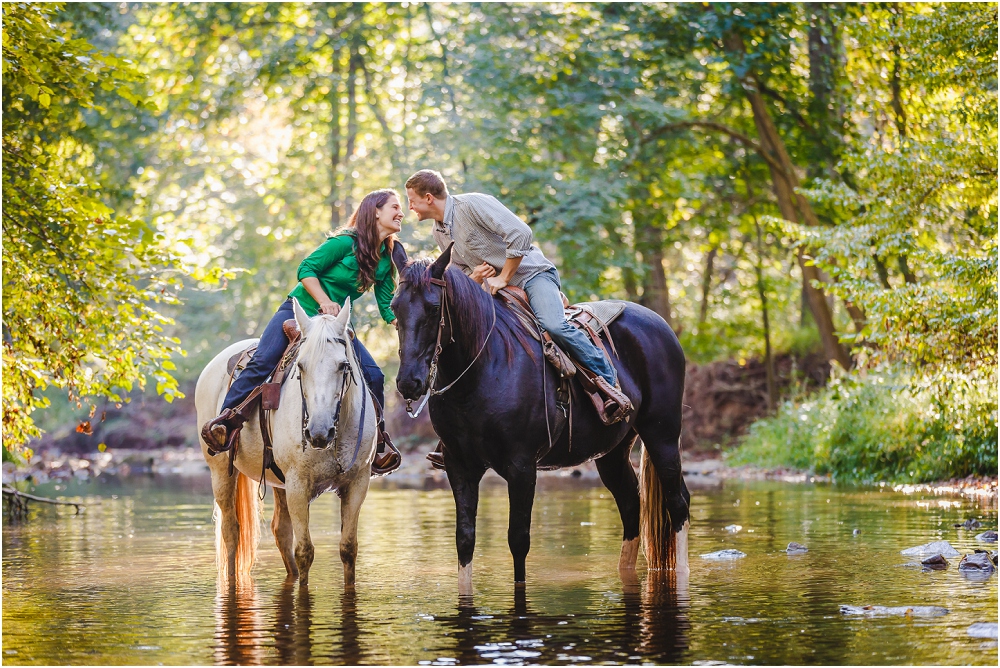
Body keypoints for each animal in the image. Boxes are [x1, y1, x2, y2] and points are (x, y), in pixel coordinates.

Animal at [196, 298, 378, 584]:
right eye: (300, 366)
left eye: (343, 365)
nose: (318, 433)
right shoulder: (298, 484)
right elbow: (305, 551)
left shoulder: (358, 482)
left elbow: (348, 549)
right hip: (221, 471)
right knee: (231, 531)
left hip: (278, 480)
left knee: (280, 530)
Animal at [390, 247, 688, 596]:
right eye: (394, 307)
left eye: (434, 307)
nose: (409, 382)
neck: (484, 368)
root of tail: (662, 325)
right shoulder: (458, 465)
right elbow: (464, 539)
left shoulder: (522, 466)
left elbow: (518, 540)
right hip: (612, 452)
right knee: (630, 505)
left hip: (662, 435)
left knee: (678, 502)